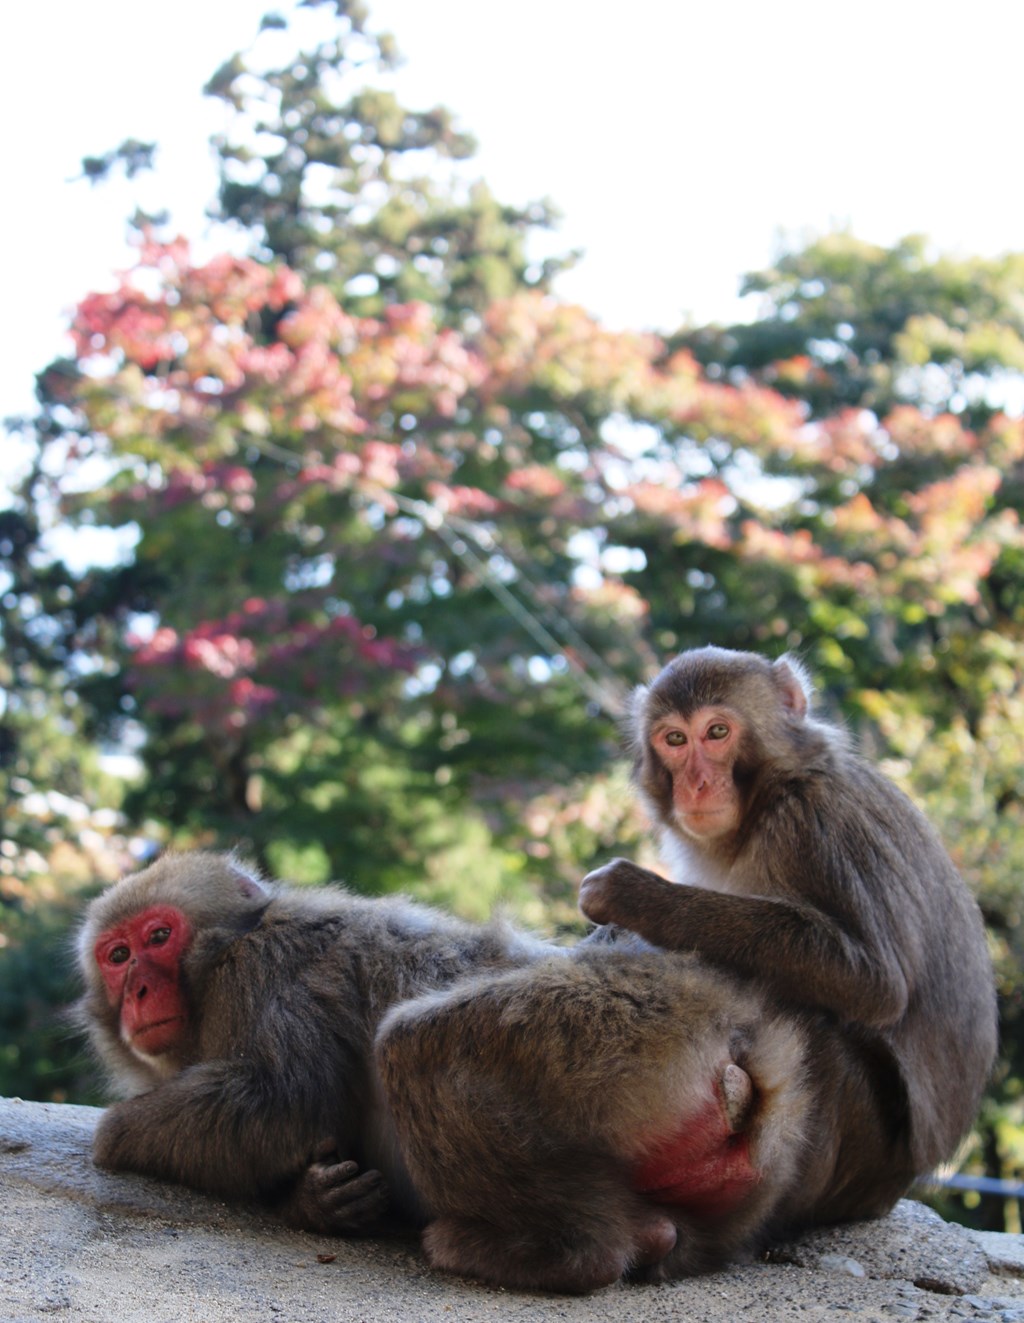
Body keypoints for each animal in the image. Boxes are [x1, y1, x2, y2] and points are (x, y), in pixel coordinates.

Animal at [582, 645, 1000, 1174]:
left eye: (716, 732)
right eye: (675, 739)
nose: (696, 784)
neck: (767, 798)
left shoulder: (813, 823)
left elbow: (874, 981)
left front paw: (632, 895)